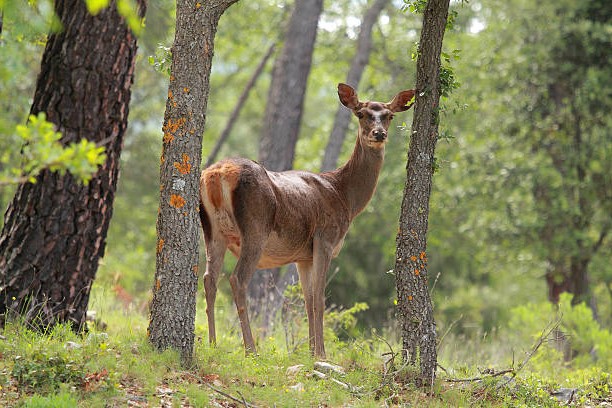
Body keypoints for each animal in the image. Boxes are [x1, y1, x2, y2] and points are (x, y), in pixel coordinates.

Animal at [201, 84, 416, 358]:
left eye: (389, 115)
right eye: (361, 114)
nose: (379, 134)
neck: (345, 197)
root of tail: (216, 174)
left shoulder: (303, 256)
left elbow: (308, 299)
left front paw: (312, 351)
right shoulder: (325, 239)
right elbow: (320, 299)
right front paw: (322, 353)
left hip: (212, 230)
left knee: (209, 279)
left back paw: (212, 344)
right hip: (255, 228)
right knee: (237, 279)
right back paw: (250, 349)